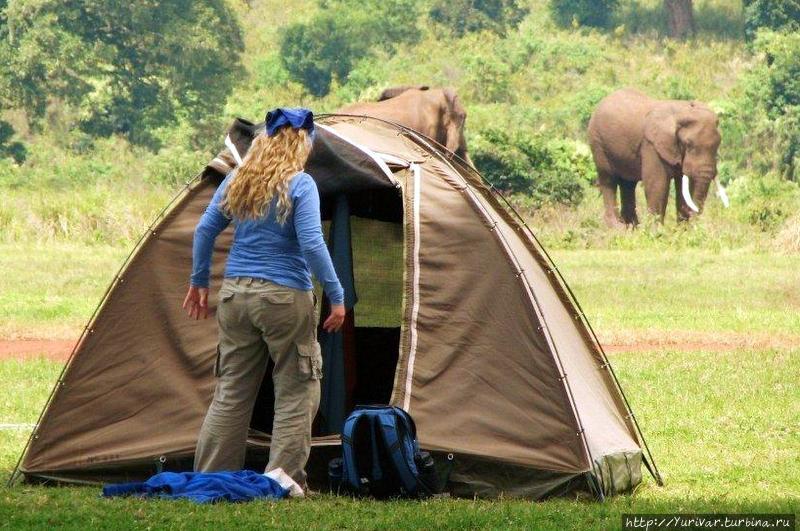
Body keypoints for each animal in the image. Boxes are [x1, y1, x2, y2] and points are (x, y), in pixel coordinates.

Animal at [584, 88, 728, 229]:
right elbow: (657, 185)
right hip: (597, 142)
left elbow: (683, 186)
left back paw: (632, 228)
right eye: (688, 144)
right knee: (609, 179)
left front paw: (682, 231)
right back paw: (617, 228)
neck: (680, 113)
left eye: (718, 144)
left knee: (628, 184)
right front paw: (657, 232)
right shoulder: (651, 145)